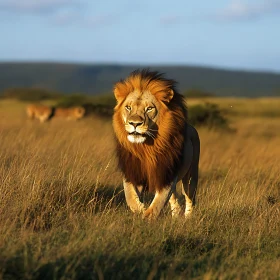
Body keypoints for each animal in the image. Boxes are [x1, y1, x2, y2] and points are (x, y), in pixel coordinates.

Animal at [112, 69, 200, 220]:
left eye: (149, 109)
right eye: (128, 107)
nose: (134, 123)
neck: (145, 147)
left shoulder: (167, 173)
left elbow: (158, 202)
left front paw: (147, 217)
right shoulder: (132, 171)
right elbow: (130, 197)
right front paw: (140, 209)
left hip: (191, 175)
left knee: (189, 198)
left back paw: (188, 218)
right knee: (174, 199)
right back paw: (175, 216)